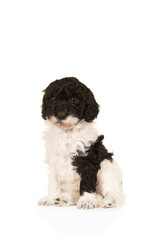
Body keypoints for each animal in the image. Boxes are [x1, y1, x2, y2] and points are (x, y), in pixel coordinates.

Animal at [38, 77, 125, 208]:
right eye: (53, 98)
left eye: (75, 99)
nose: (61, 115)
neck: (67, 133)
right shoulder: (54, 159)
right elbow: (53, 182)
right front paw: (51, 197)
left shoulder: (88, 158)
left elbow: (87, 182)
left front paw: (87, 200)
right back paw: (63, 199)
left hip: (106, 166)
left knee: (116, 193)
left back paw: (110, 200)